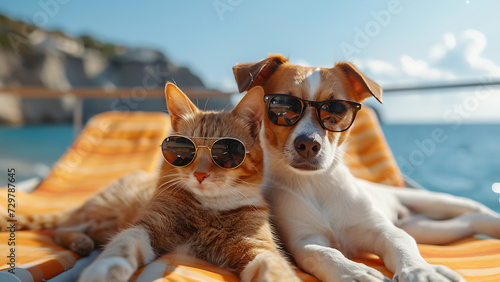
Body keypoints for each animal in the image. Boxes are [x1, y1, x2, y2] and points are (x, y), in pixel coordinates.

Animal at [2, 83, 300, 282]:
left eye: (226, 152)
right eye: (183, 150)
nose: (200, 174)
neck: (209, 209)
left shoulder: (257, 247)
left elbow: (275, 268)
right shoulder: (146, 227)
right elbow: (119, 249)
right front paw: (101, 272)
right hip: (100, 212)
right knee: (62, 228)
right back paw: (79, 242)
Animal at [233, 54, 500, 280]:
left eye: (337, 109)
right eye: (282, 106)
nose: (308, 143)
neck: (317, 184)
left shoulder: (383, 231)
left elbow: (402, 245)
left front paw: (421, 271)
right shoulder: (305, 240)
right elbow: (325, 253)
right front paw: (354, 273)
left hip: (437, 203)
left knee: (475, 209)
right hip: (430, 230)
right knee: (469, 222)